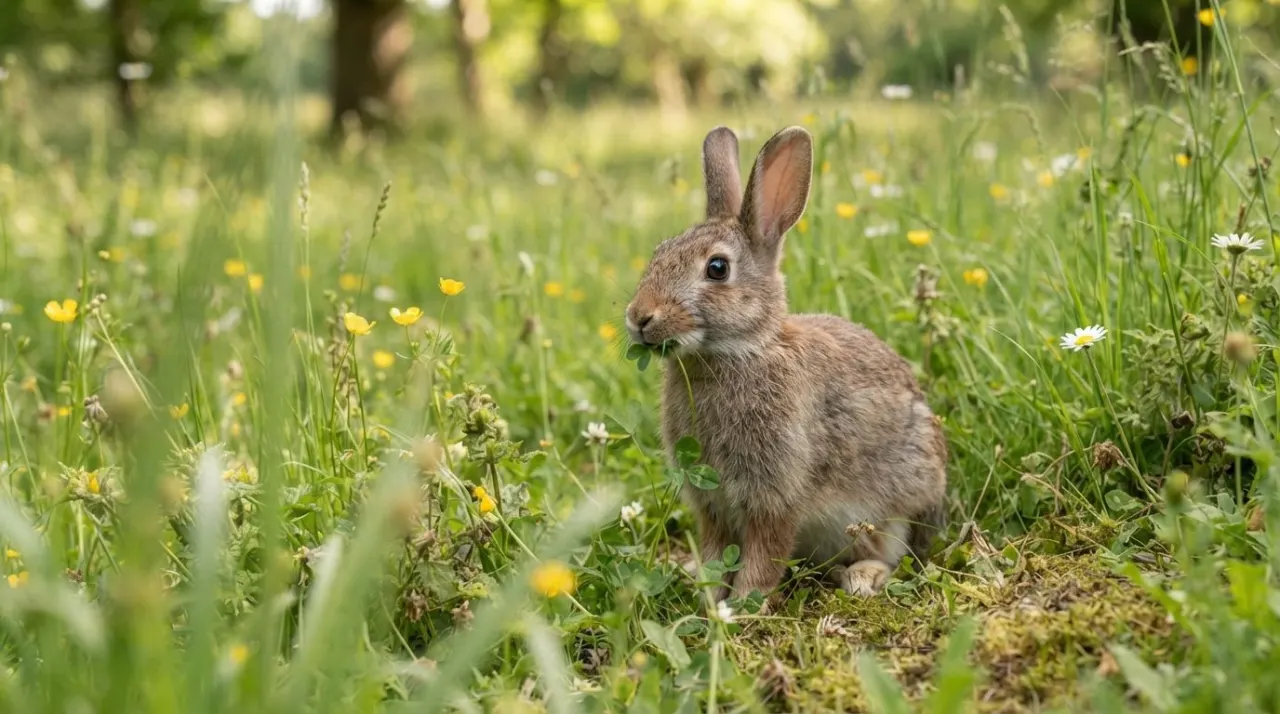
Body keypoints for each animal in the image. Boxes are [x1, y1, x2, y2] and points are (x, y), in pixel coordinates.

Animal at [624, 126, 948, 602]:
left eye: (717, 268)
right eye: (659, 252)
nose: (640, 317)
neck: (741, 351)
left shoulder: (776, 494)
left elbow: (764, 555)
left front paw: (743, 605)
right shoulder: (713, 504)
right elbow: (717, 552)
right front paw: (709, 599)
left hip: (897, 506)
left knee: (893, 551)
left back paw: (862, 577)